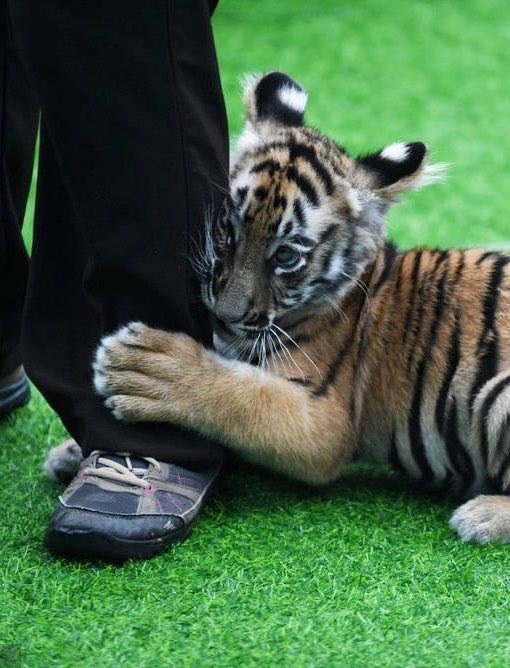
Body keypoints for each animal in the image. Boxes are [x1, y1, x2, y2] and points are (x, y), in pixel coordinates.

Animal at [68, 71, 510, 544]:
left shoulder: (324, 420)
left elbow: (242, 396)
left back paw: (480, 516)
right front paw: (67, 450)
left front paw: (142, 369)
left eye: (285, 256)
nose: (224, 316)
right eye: (228, 229)